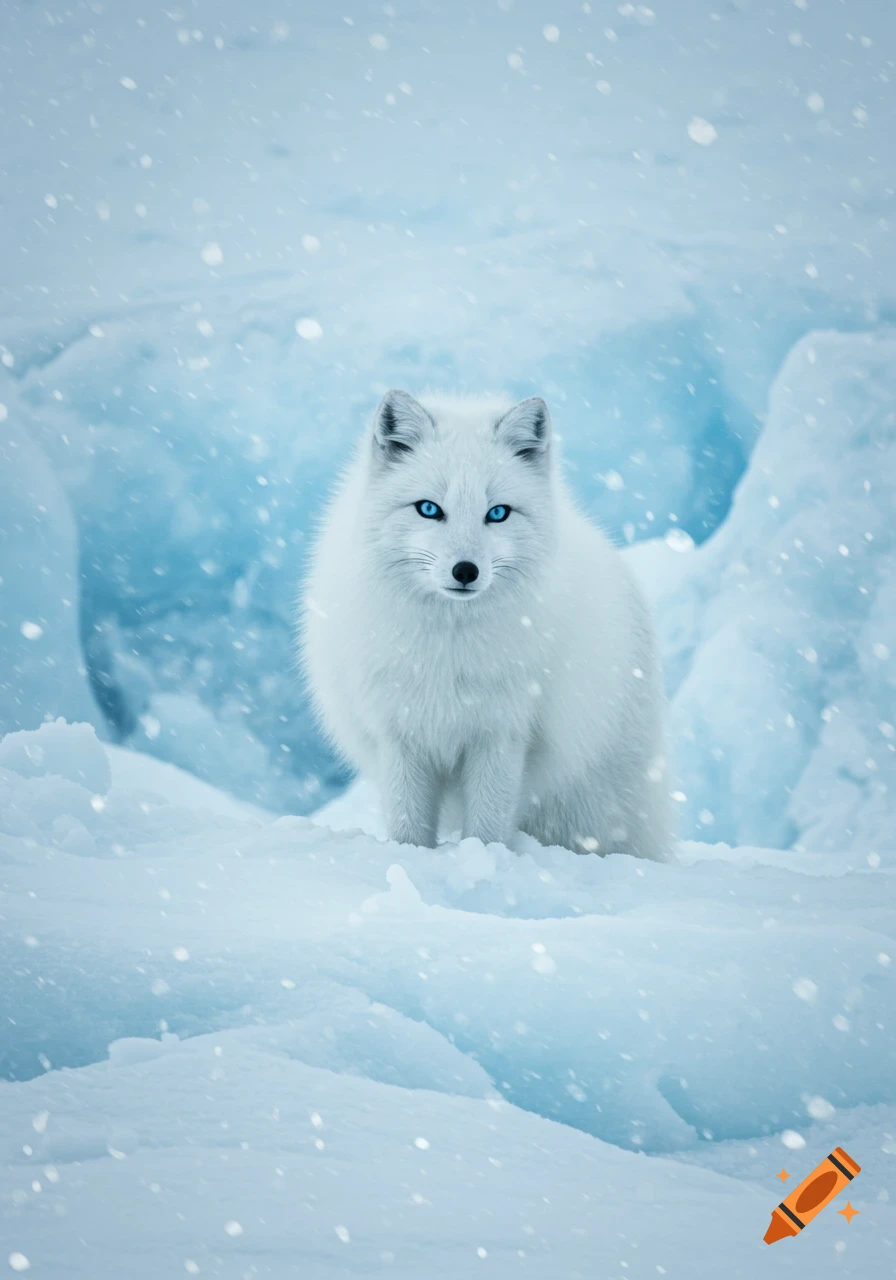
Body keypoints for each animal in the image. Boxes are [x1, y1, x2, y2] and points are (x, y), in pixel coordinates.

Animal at [301, 390, 670, 860]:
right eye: (428, 509)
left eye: (497, 513)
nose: (466, 570)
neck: (446, 651)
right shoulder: (399, 730)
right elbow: (408, 821)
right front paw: (410, 857)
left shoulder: (503, 731)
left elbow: (489, 821)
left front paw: (483, 859)